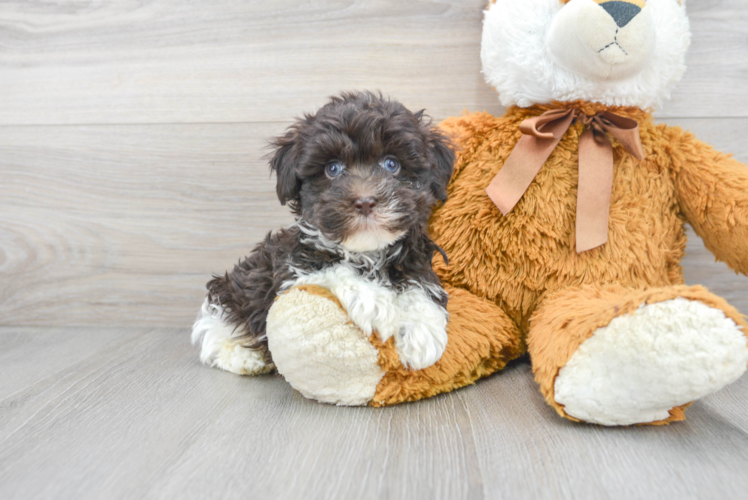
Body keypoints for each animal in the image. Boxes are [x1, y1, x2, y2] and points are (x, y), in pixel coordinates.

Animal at [190, 92, 452, 376]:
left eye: (392, 164)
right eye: (333, 169)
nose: (365, 202)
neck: (366, 252)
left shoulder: (414, 257)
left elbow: (421, 284)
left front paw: (422, 332)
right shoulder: (291, 269)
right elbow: (333, 268)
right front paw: (376, 303)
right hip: (233, 291)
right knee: (215, 329)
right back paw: (246, 358)